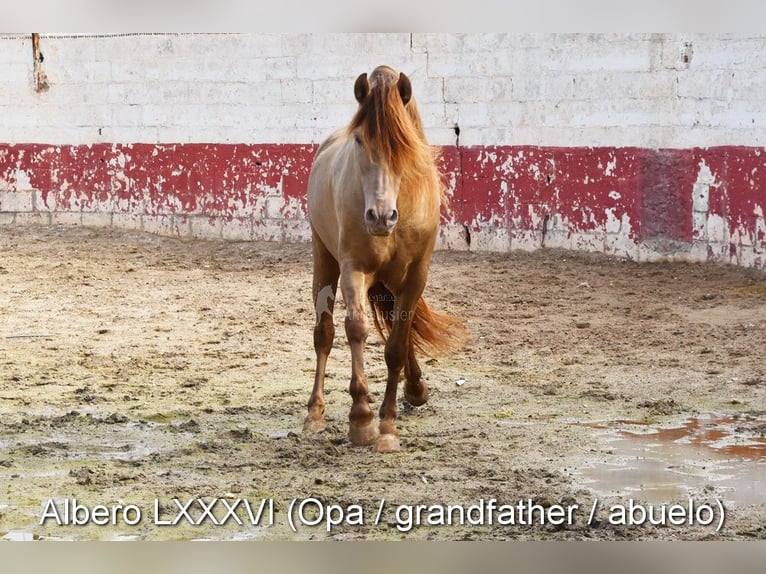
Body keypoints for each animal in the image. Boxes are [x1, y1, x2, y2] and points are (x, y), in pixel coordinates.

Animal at [303, 65, 466, 453]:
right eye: (360, 141)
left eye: (403, 144)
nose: (380, 217)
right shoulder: (354, 268)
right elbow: (356, 329)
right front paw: (361, 419)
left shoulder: (415, 277)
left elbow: (396, 344)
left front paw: (388, 424)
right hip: (325, 260)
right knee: (324, 333)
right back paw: (314, 413)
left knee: (396, 329)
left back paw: (415, 389)